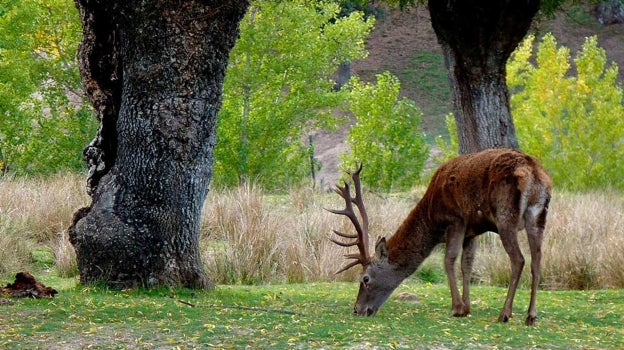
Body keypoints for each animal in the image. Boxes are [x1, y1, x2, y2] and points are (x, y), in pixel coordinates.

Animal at [326, 148, 552, 326]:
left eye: (365, 278)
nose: (357, 309)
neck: (431, 217)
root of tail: (534, 173)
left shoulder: (455, 219)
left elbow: (448, 260)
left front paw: (457, 308)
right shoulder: (472, 231)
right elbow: (467, 264)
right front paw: (467, 307)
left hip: (505, 214)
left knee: (519, 259)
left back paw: (504, 314)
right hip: (538, 216)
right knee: (537, 260)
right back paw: (531, 316)